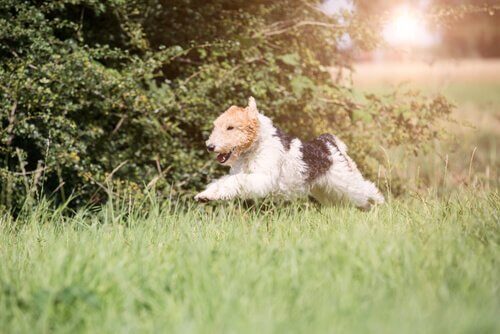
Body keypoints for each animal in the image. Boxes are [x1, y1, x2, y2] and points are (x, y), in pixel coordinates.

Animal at [193, 96, 384, 209]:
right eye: (216, 125)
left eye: (231, 127)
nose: (210, 146)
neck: (256, 146)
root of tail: (328, 142)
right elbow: (222, 182)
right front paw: (204, 196)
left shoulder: (263, 177)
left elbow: (234, 181)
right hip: (327, 191)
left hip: (346, 182)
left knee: (369, 189)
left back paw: (380, 203)